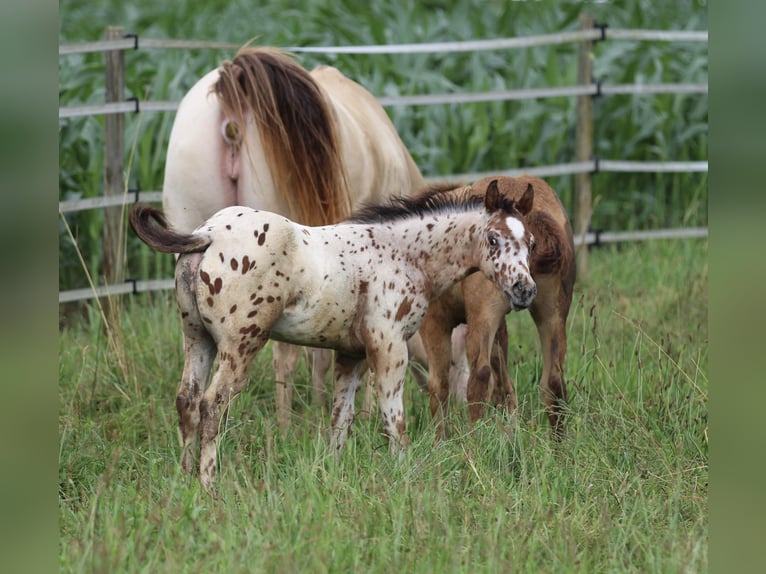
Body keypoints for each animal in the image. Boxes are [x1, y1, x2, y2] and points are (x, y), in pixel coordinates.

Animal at [129, 181, 536, 496]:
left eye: (530, 241)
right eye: (493, 238)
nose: (524, 290)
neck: (400, 254)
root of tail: (208, 234)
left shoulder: (350, 355)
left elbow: (341, 420)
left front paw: (331, 475)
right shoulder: (389, 347)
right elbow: (394, 420)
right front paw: (405, 475)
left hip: (198, 339)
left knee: (186, 400)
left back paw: (184, 480)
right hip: (240, 345)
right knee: (212, 405)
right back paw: (209, 486)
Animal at [420, 176, 576, 436]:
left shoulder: (435, 322)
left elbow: (439, 385)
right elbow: (503, 383)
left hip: (484, 317)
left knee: (480, 376)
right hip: (552, 314)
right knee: (553, 380)